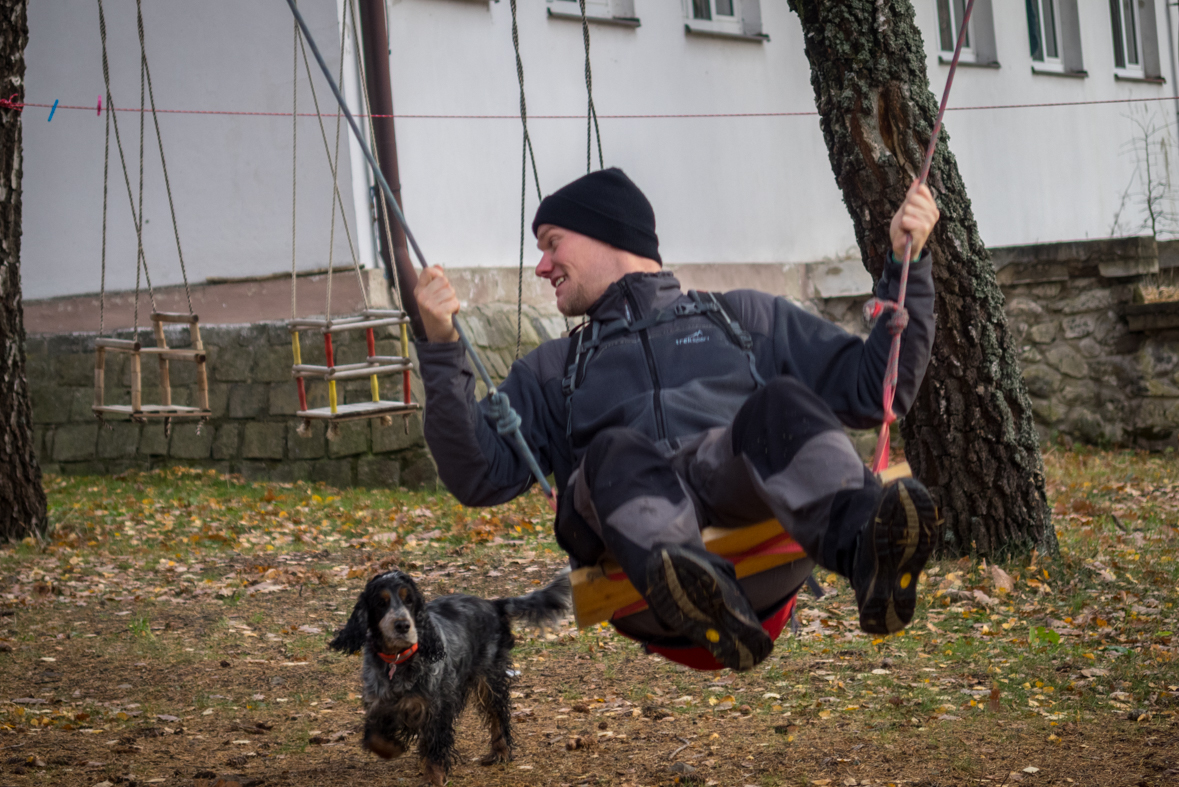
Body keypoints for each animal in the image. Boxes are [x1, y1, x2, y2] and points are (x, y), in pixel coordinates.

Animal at [330, 567, 568, 782]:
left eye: (410, 601)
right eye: (381, 603)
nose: (403, 625)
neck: (398, 660)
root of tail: (492, 604)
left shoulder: (437, 707)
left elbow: (436, 748)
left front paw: (435, 777)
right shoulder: (380, 705)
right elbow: (375, 739)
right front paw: (396, 748)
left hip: (489, 678)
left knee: (498, 715)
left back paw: (501, 752)